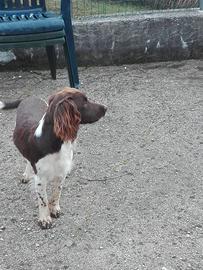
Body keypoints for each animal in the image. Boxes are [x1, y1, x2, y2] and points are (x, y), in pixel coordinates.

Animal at [0, 87, 107, 229]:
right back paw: (26, 175)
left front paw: (55, 209)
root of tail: (29, 97)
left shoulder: (61, 173)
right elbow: (43, 200)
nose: (106, 108)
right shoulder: (40, 179)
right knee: (27, 159)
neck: (56, 144)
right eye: (84, 102)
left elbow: (57, 193)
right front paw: (45, 219)